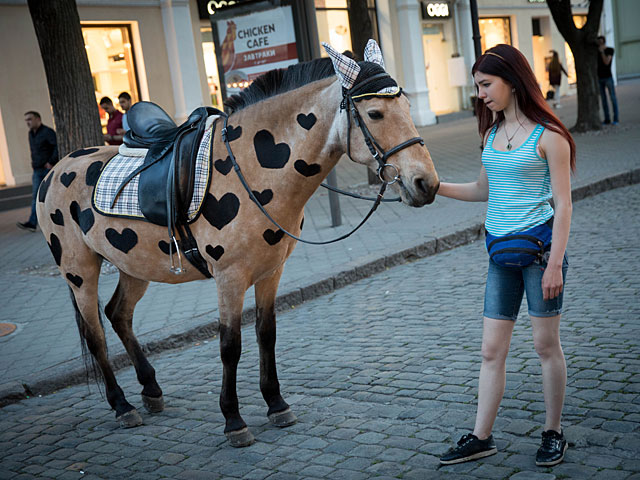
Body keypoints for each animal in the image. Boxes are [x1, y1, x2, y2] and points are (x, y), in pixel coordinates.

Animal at [36, 40, 440, 446]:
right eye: (374, 113)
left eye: (407, 107)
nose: (427, 183)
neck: (252, 167)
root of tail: (54, 171)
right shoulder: (230, 278)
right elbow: (230, 345)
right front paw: (234, 419)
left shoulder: (271, 272)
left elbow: (266, 334)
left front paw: (276, 403)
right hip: (79, 271)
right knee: (95, 335)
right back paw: (122, 406)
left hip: (134, 265)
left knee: (118, 314)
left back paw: (150, 390)